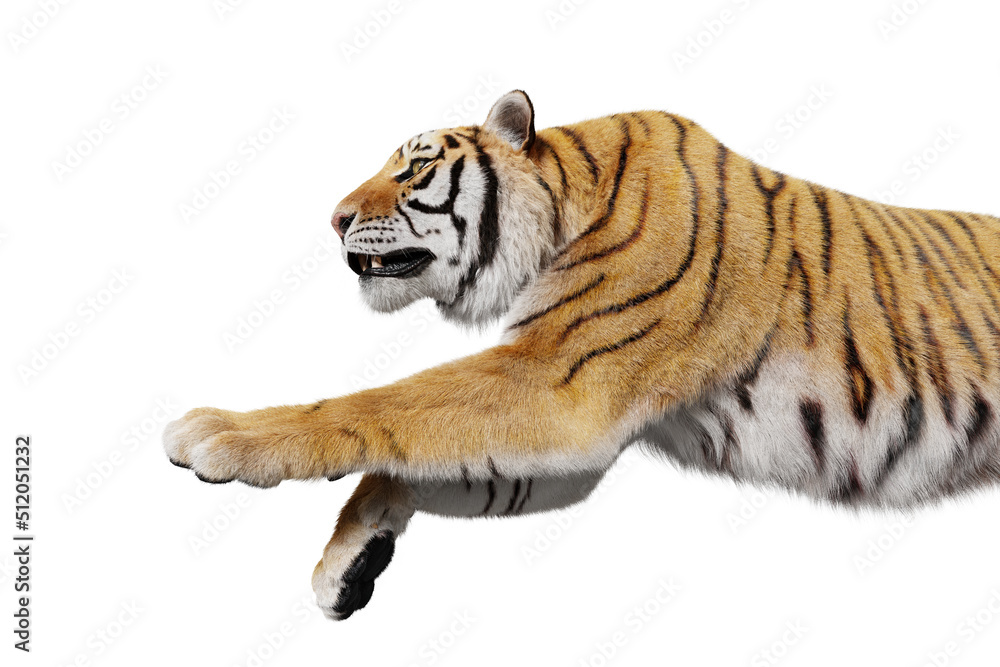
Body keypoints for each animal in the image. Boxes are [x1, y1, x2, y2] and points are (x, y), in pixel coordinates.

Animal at [164, 90, 1000, 620]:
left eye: (415, 167)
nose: (334, 219)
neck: (569, 202)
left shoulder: (556, 383)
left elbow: (380, 404)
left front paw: (221, 432)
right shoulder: (562, 432)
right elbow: (408, 458)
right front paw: (349, 561)